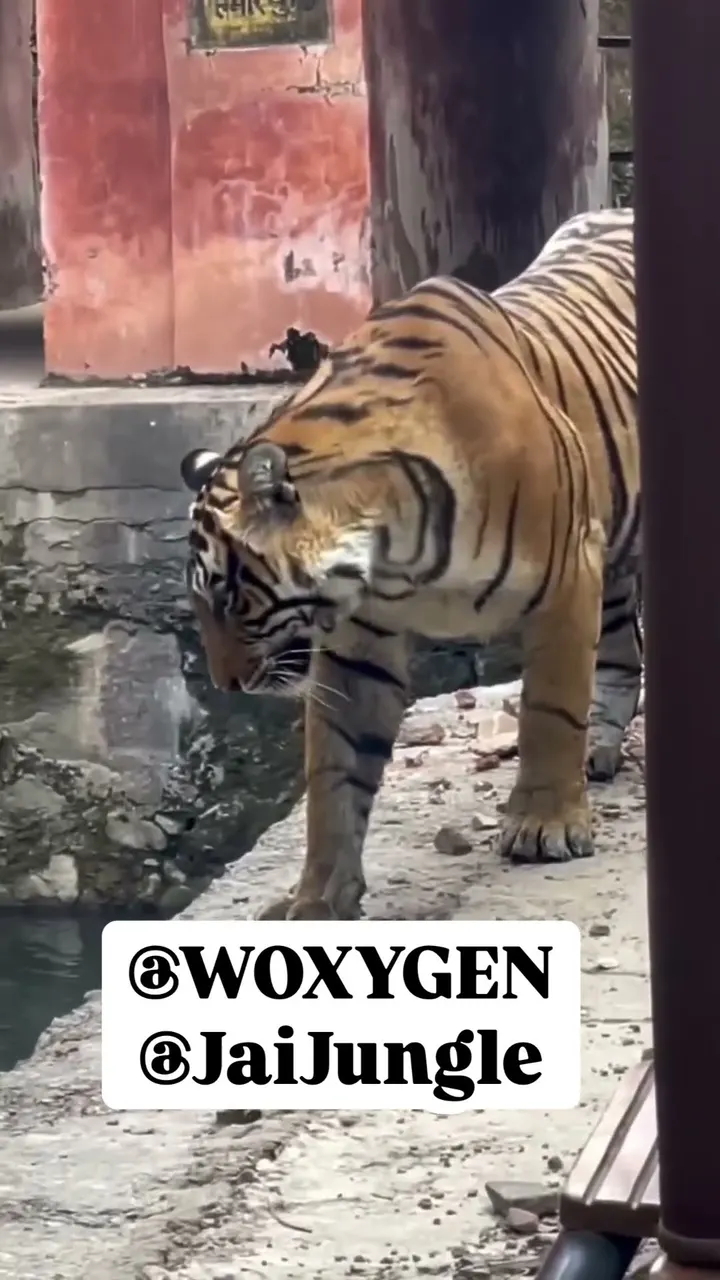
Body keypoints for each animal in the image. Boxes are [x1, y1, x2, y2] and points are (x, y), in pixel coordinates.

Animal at [180, 206, 640, 922]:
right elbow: (335, 774)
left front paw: (544, 825)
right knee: (621, 651)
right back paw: (598, 749)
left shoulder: (568, 574)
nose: (227, 686)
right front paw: (317, 898)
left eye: (229, 597)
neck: (396, 555)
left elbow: (550, 707)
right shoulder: (359, 640)